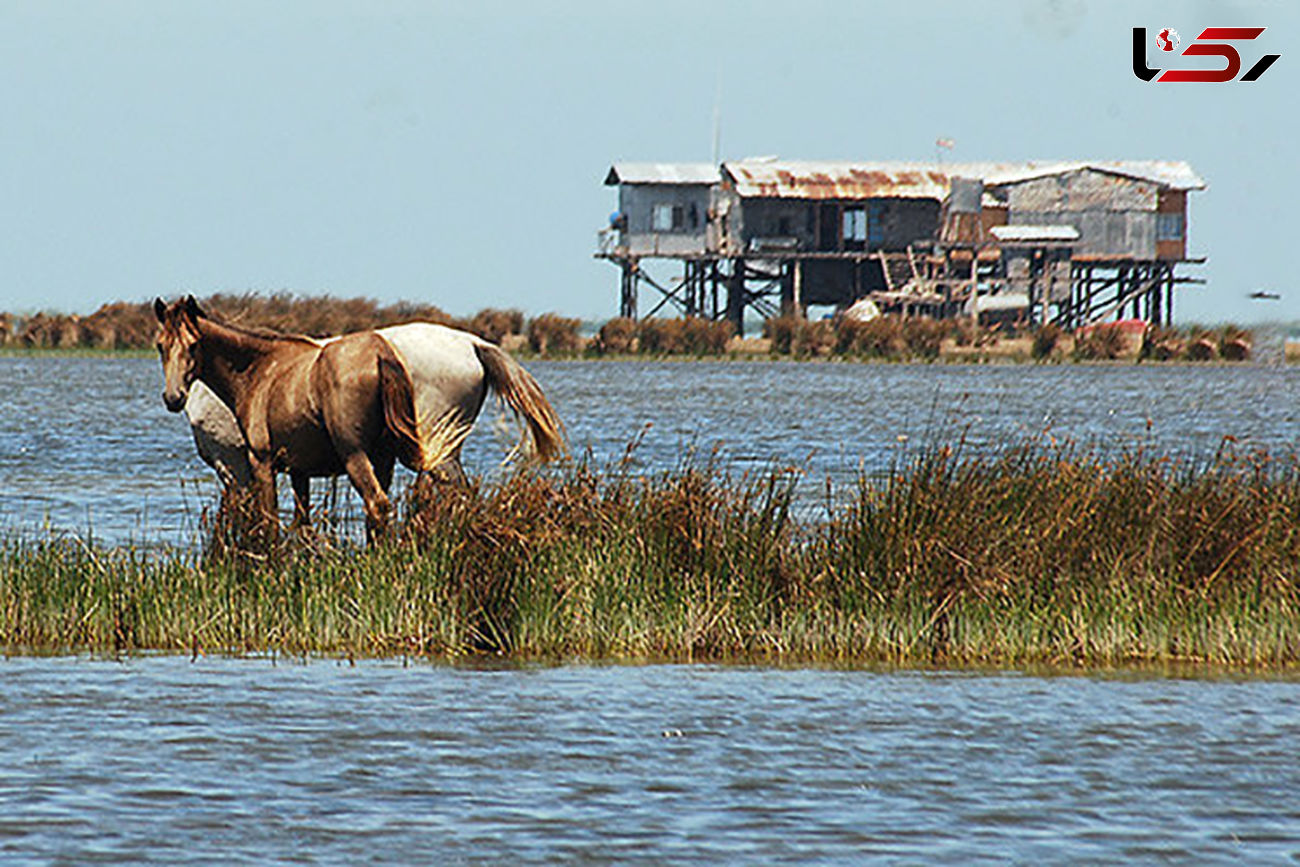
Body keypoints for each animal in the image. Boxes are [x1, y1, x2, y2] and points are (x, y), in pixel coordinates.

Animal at [152, 300, 564, 543]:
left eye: (193, 346)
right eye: (160, 345)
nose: (173, 398)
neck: (261, 369)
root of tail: (474, 344)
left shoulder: (246, 465)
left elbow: (260, 523)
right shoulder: (296, 469)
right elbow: (299, 524)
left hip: (419, 454)